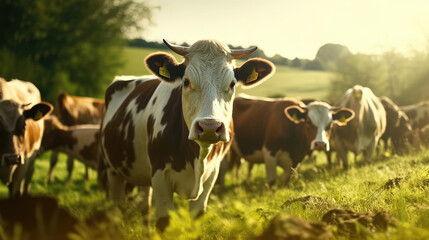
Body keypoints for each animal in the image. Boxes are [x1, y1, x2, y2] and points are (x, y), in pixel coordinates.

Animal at [99, 39, 274, 231]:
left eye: (232, 84)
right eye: (186, 81)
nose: (209, 127)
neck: (197, 156)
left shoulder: (211, 175)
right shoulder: (159, 174)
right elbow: (164, 221)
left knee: (144, 206)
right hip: (112, 169)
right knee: (119, 207)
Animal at [217, 94, 354, 187]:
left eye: (330, 124)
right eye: (308, 122)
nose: (320, 144)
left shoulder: (295, 160)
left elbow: (286, 181)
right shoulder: (269, 153)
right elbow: (272, 181)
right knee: (222, 167)